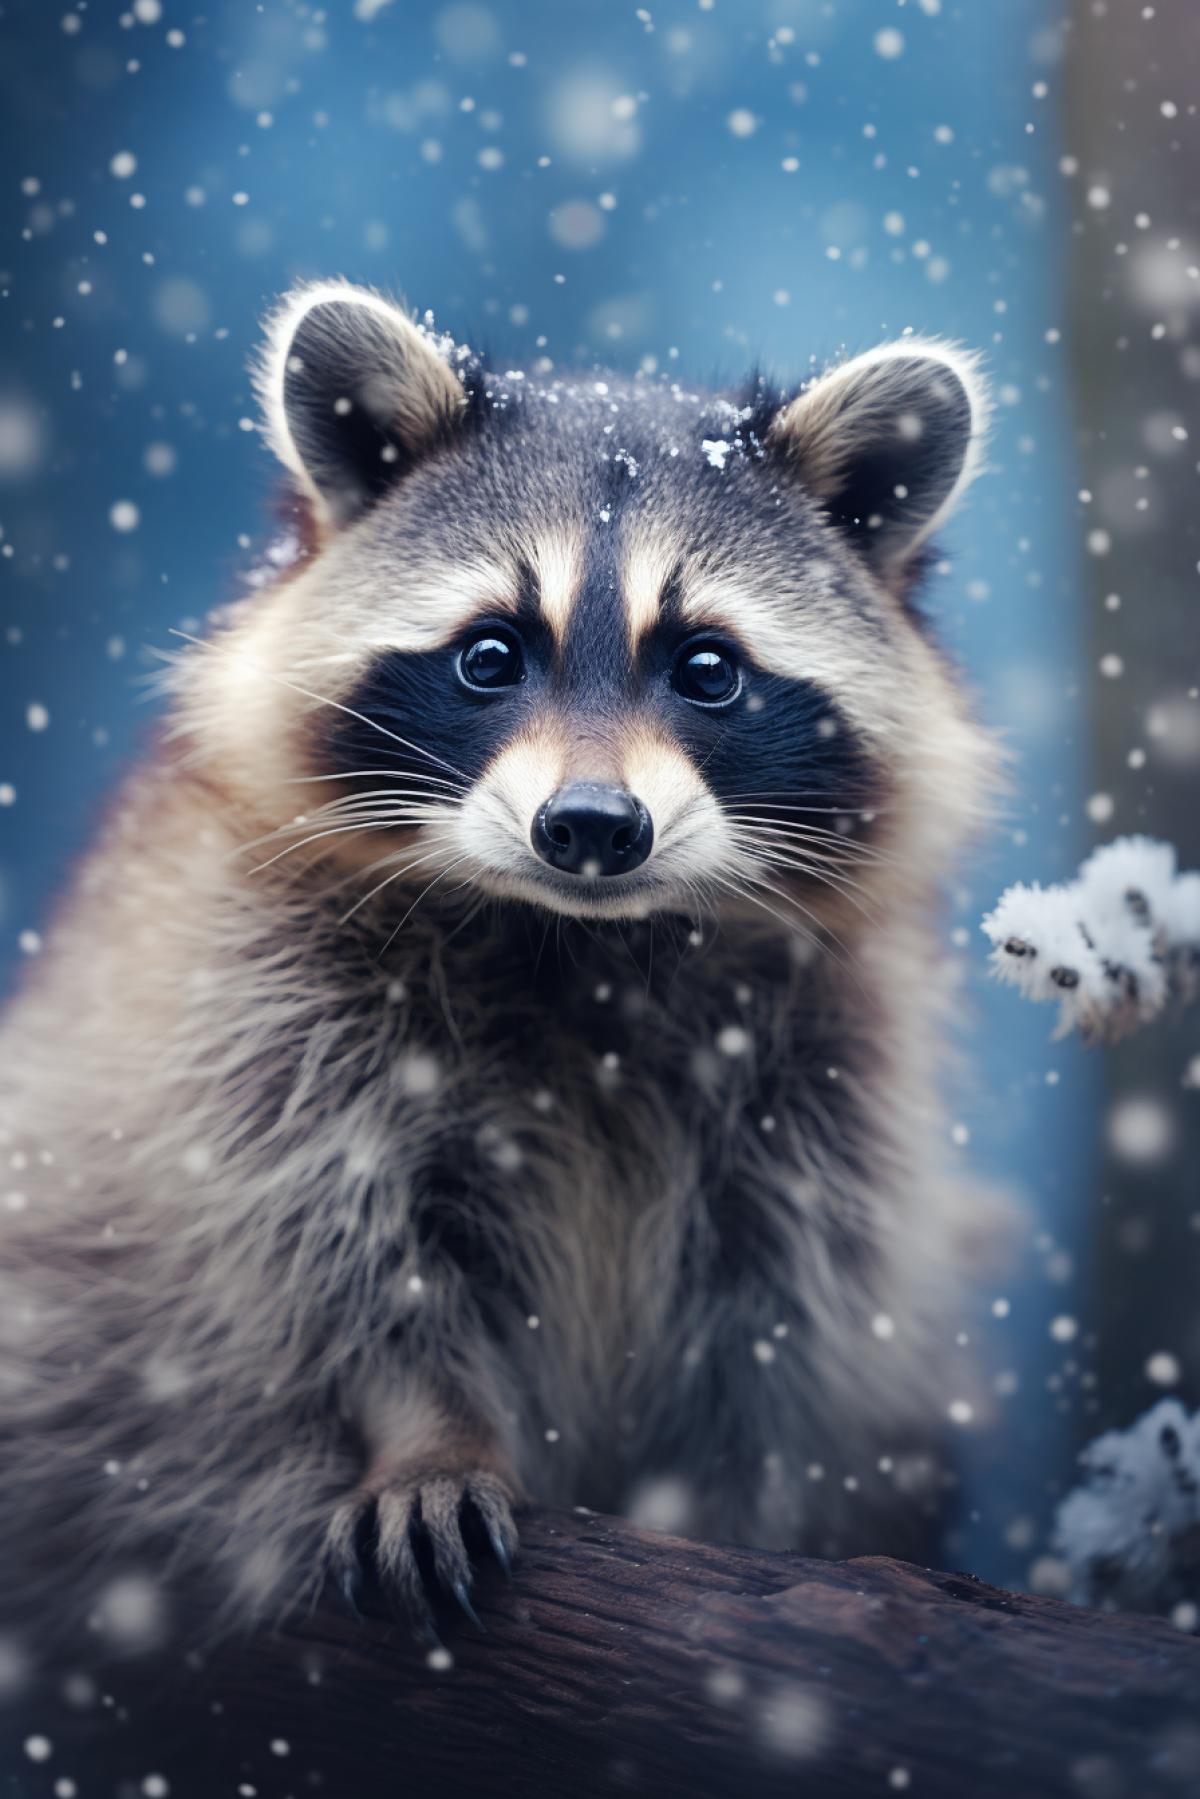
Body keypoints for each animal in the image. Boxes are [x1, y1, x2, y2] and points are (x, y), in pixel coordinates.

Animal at [0, 281, 995, 1647]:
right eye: (489, 654)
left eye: (708, 668)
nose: (591, 826)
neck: (587, 939)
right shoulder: (263, 995)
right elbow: (341, 1259)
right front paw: (430, 1438)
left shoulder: (826, 1079)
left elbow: (781, 1328)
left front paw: (741, 1527)